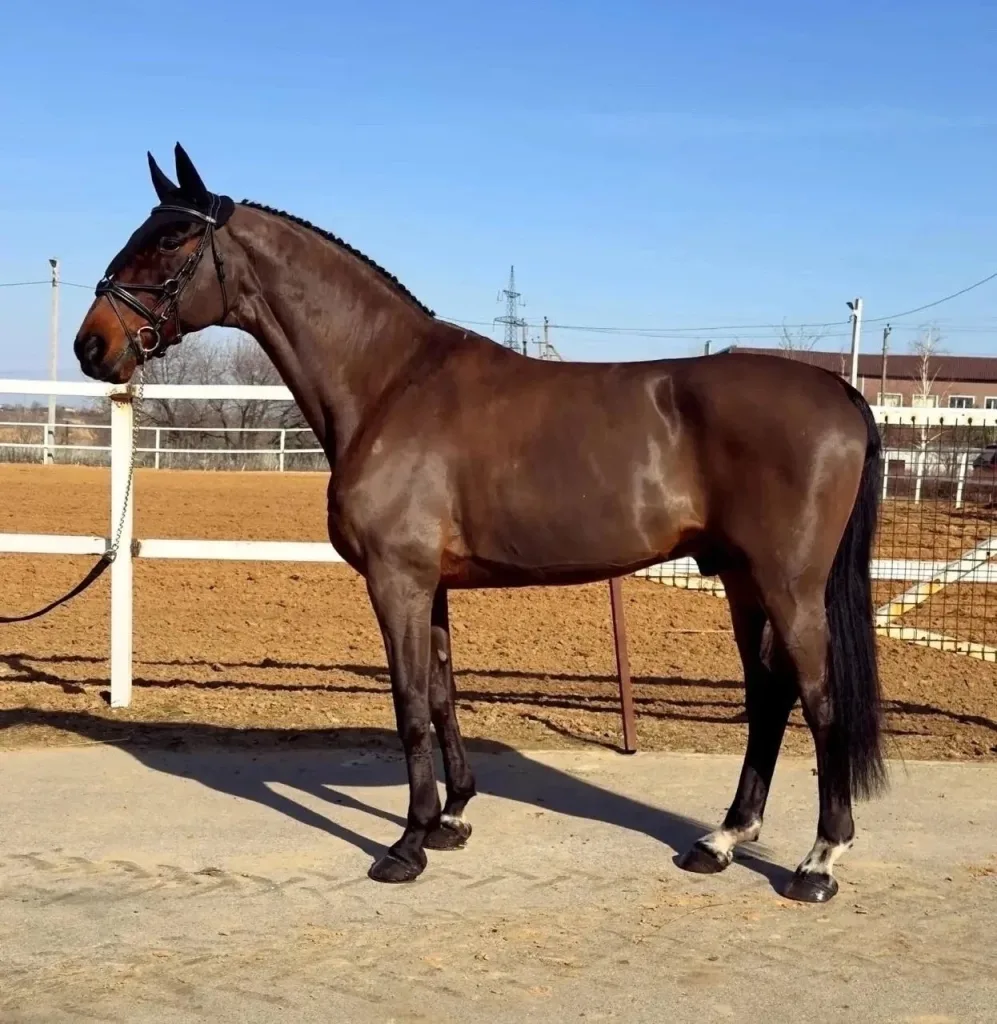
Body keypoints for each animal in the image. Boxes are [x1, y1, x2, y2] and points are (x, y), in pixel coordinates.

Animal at [73, 144, 886, 903]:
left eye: (172, 239)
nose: (91, 345)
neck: (390, 383)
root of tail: (839, 393)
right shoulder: (429, 585)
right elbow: (441, 694)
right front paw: (451, 817)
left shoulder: (396, 581)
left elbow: (408, 705)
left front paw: (406, 845)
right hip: (742, 581)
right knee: (768, 696)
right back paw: (721, 840)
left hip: (788, 587)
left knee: (818, 700)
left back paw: (818, 861)